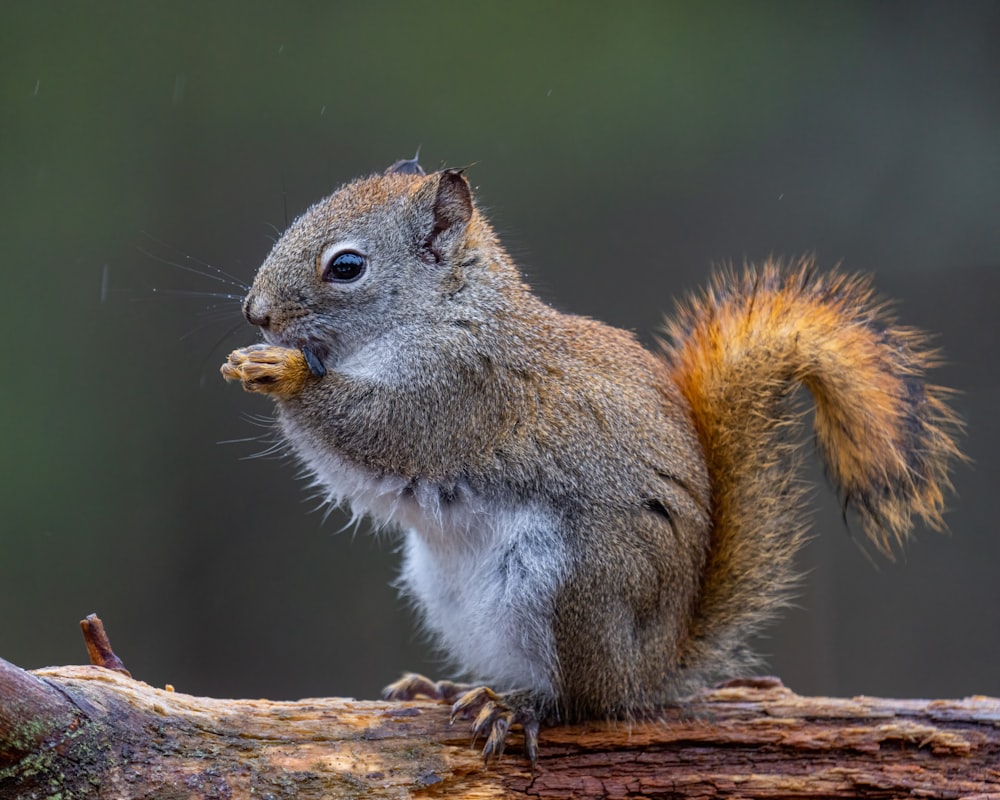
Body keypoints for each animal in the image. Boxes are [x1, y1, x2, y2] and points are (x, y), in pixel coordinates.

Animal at [223, 156, 964, 764]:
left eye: (347, 266)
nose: (255, 314)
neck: (444, 314)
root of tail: (654, 668)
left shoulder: (460, 394)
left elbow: (376, 430)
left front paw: (283, 372)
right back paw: (446, 688)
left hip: (575, 585)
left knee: (585, 704)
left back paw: (516, 705)